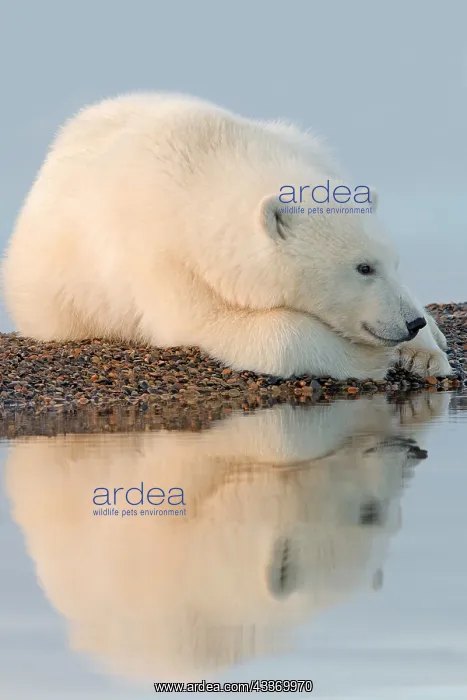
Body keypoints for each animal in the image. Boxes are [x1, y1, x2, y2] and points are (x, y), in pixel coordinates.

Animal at [1, 92, 452, 380]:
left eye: (394, 263)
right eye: (363, 268)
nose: (410, 322)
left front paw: (424, 354)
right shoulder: (160, 257)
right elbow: (217, 324)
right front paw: (372, 360)